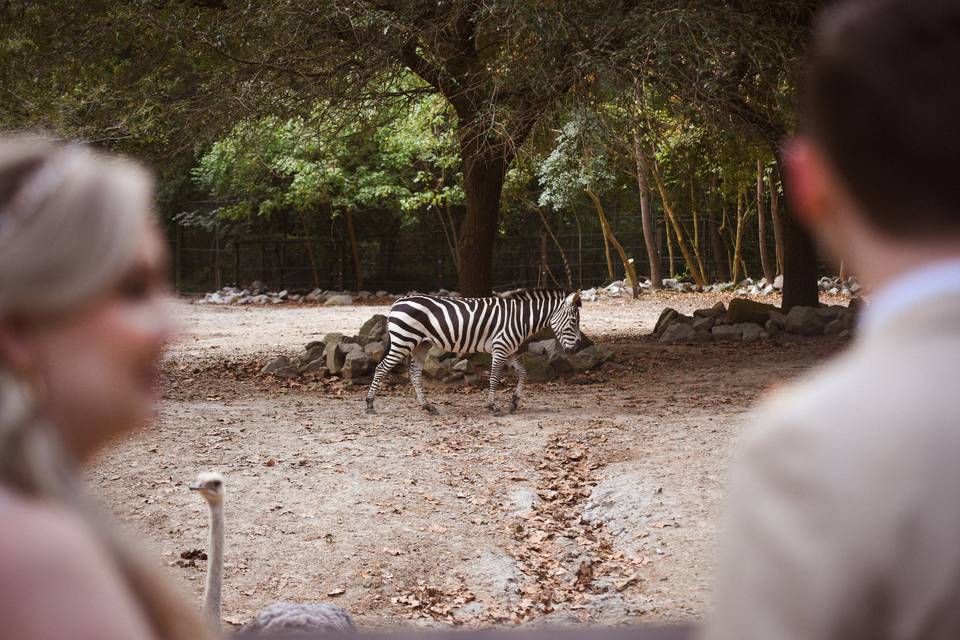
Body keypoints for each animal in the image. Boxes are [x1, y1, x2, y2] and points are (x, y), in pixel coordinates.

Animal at [364, 288, 580, 416]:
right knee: (381, 368)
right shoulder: (500, 347)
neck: (520, 319)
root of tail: (397, 302)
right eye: (573, 322)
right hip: (403, 340)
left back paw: (428, 406)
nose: (577, 348)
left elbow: (523, 372)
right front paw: (493, 406)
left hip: (420, 345)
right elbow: (494, 378)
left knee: (415, 375)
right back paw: (369, 404)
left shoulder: (509, 349)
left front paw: (514, 402)